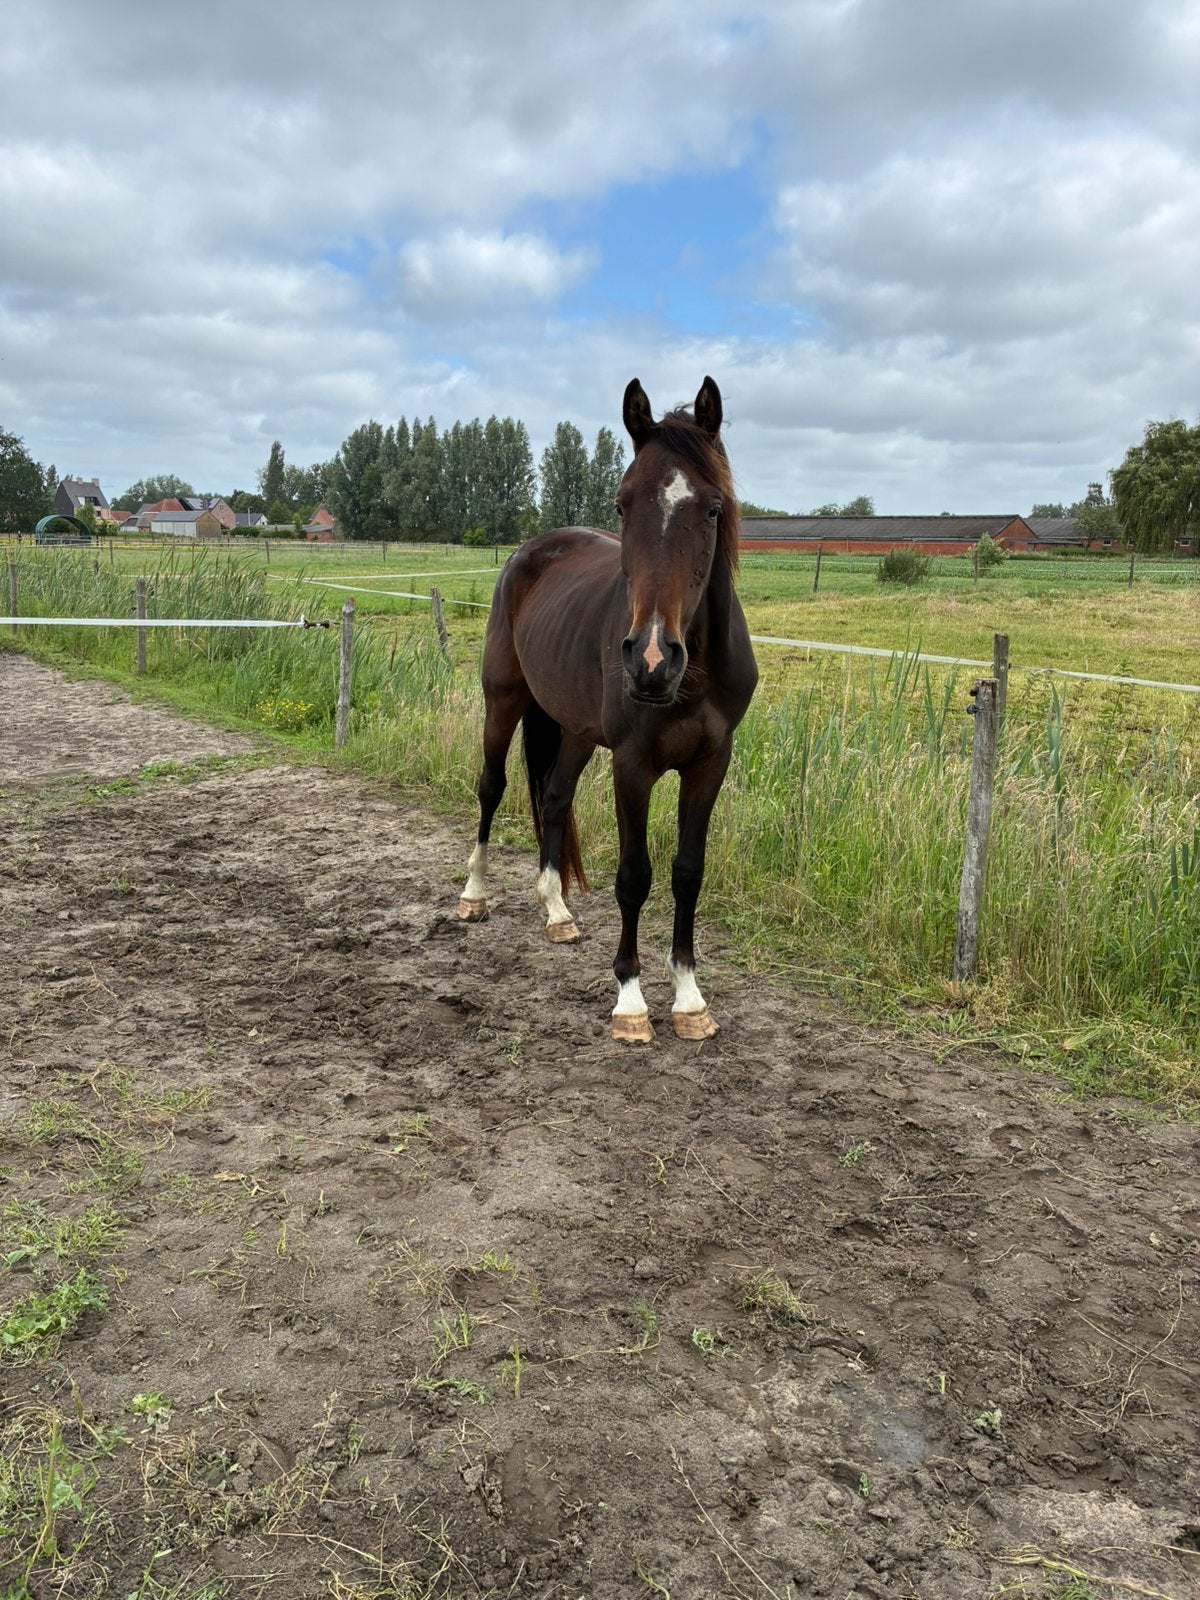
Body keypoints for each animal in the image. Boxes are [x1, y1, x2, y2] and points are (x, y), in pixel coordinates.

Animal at [456, 376, 758, 1043]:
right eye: (622, 505)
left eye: (713, 509)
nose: (651, 659)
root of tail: (531, 551)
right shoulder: (632, 764)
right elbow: (634, 876)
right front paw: (630, 999)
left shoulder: (711, 763)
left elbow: (687, 872)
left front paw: (689, 998)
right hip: (503, 702)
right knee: (491, 787)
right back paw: (473, 893)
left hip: (572, 731)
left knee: (553, 798)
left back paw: (556, 910)